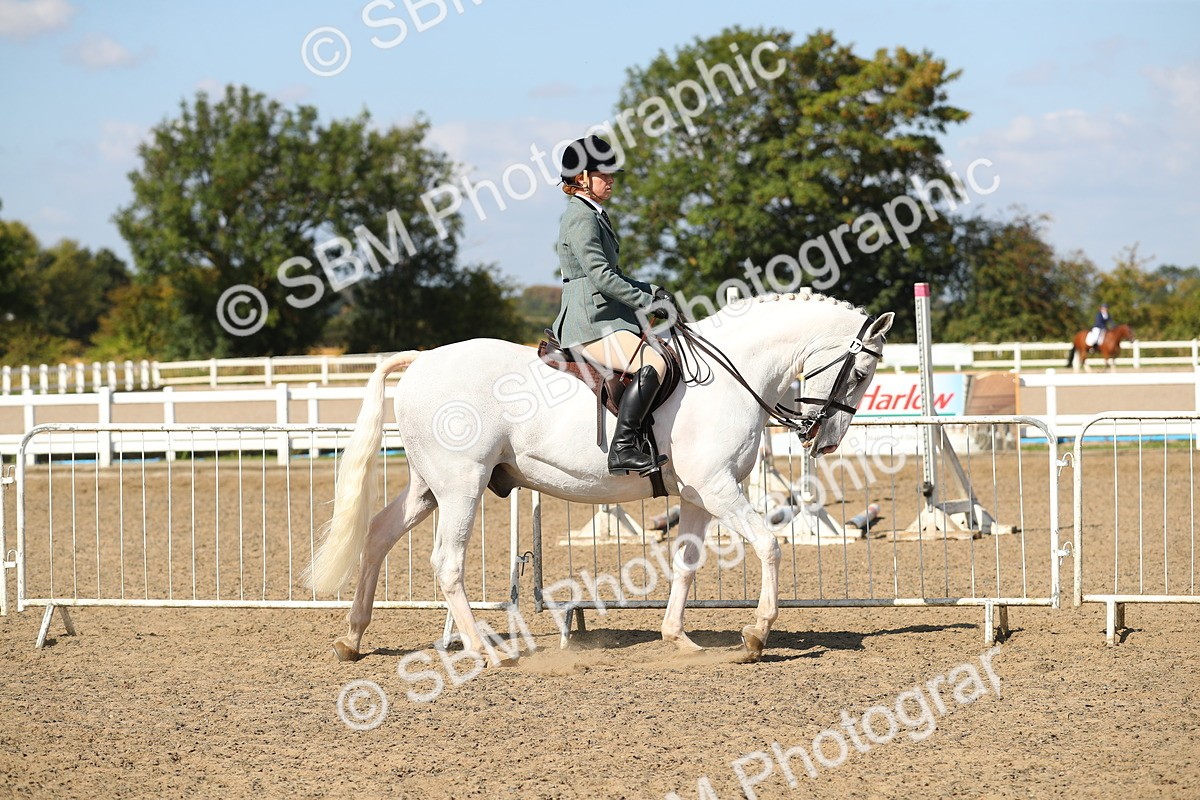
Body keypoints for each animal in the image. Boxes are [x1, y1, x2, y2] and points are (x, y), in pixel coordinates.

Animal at [308, 291, 894, 664]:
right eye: (861, 373)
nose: (826, 440)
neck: (733, 376)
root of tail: (421, 361)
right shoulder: (720, 489)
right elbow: (770, 545)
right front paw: (755, 634)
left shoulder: (699, 496)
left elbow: (686, 564)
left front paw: (677, 638)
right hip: (461, 486)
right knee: (446, 563)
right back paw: (480, 651)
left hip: (428, 487)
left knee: (378, 534)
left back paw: (352, 638)